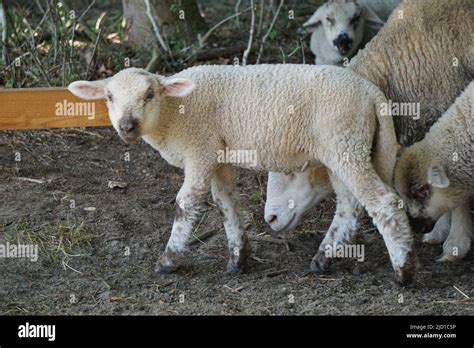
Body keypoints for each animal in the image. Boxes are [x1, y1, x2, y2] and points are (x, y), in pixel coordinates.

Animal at [68, 64, 416, 286]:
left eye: (150, 94)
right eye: (109, 97)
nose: (127, 126)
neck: (173, 114)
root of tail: (372, 94)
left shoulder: (200, 148)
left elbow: (187, 203)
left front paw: (168, 259)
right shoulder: (216, 153)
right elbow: (226, 203)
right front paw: (238, 258)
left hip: (344, 141)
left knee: (382, 201)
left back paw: (403, 271)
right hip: (342, 148)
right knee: (349, 204)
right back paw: (323, 259)